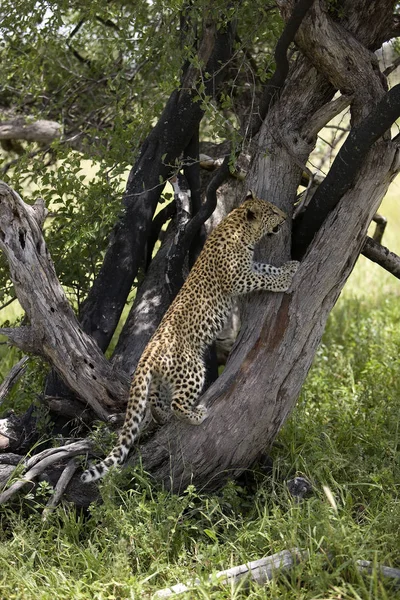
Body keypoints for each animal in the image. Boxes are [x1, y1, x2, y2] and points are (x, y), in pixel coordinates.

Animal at [81, 192, 298, 482]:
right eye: (273, 212)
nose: (285, 217)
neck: (239, 227)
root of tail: (147, 353)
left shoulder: (251, 266)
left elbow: (266, 267)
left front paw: (290, 265)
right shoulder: (239, 278)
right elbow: (263, 278)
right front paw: (284, 280)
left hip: (160, 381)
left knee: (156, 403)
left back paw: (162, 418)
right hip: (192, 369)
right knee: (177, 403)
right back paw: (196, 415)